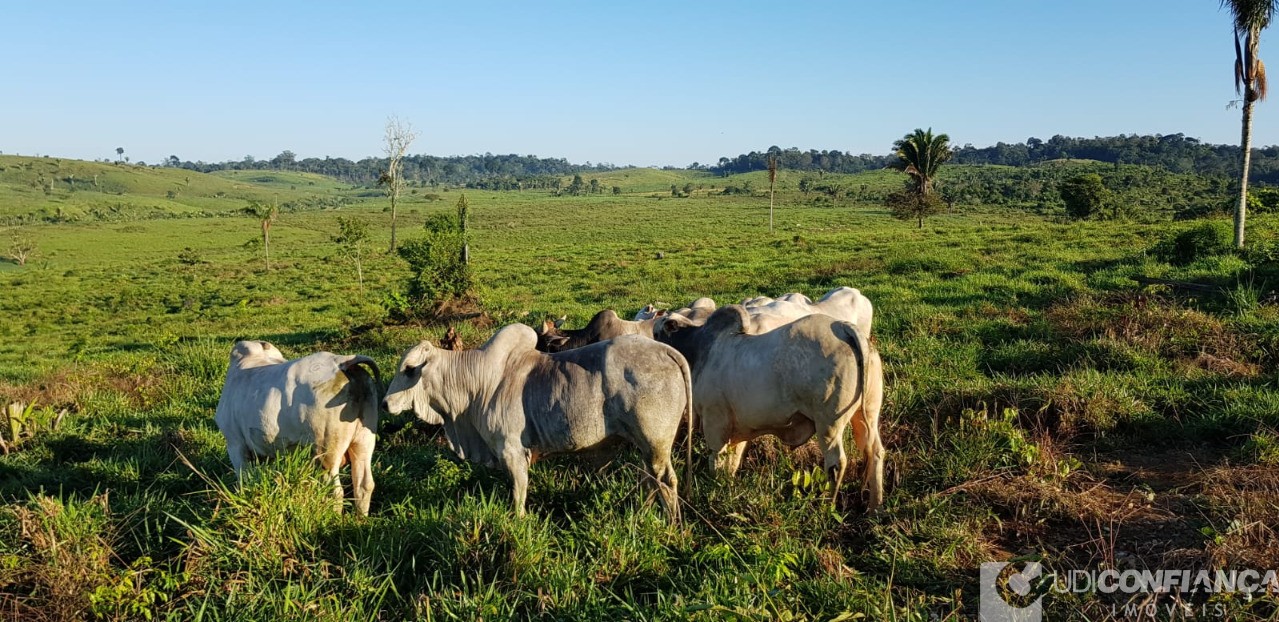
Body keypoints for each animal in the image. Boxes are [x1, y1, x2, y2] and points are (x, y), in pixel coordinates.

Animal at [213, 340, 378, 514]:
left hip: (326, 450)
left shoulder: (235, 444)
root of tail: (341, 361)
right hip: (364, 440)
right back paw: (360, 518)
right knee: (364, 485)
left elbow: (244, 480)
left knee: (335, 491)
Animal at [383, 325, 695, 519]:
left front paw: (519, 521)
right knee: (650, 480)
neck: (477, 384)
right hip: (646, 446)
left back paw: (671, 527)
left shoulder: (512, 452)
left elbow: (518, 494)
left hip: (655, 443)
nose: (385, 403)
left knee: (666, 481)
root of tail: (665, 351)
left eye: (409, 370)